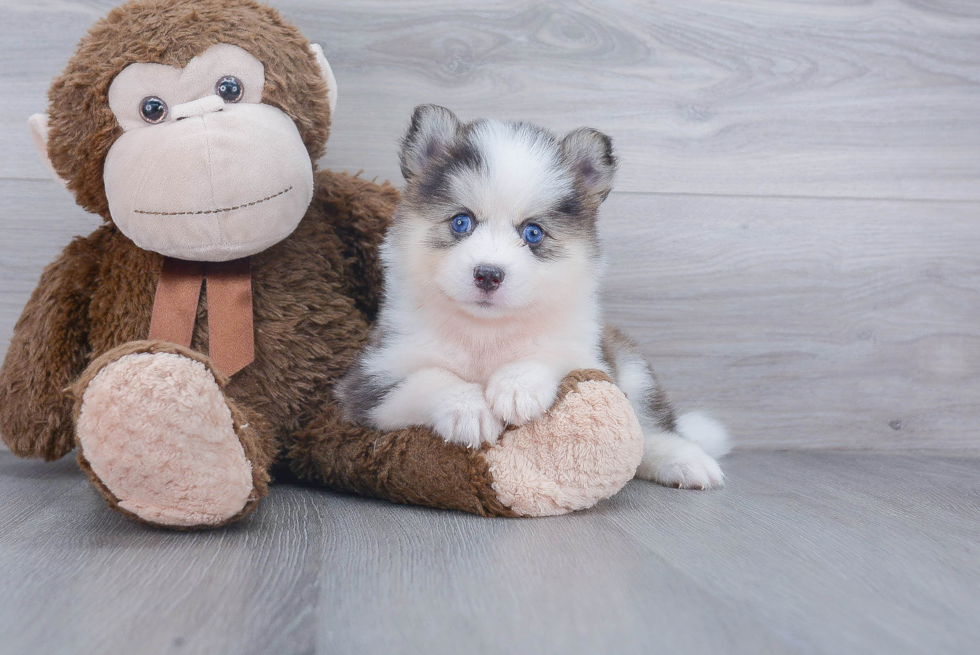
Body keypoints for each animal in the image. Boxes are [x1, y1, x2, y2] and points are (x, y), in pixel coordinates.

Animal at [336, 105, 728, 490]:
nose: (488, 274)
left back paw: (687, 461)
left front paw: (517, 386)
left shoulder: (589, 358)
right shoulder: (369, 381)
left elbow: (550, 356)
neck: (485, 334)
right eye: (461, 222)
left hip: (630, 364)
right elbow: (429, 377)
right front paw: (467, 408)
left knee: (648, 429)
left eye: (533, 232)